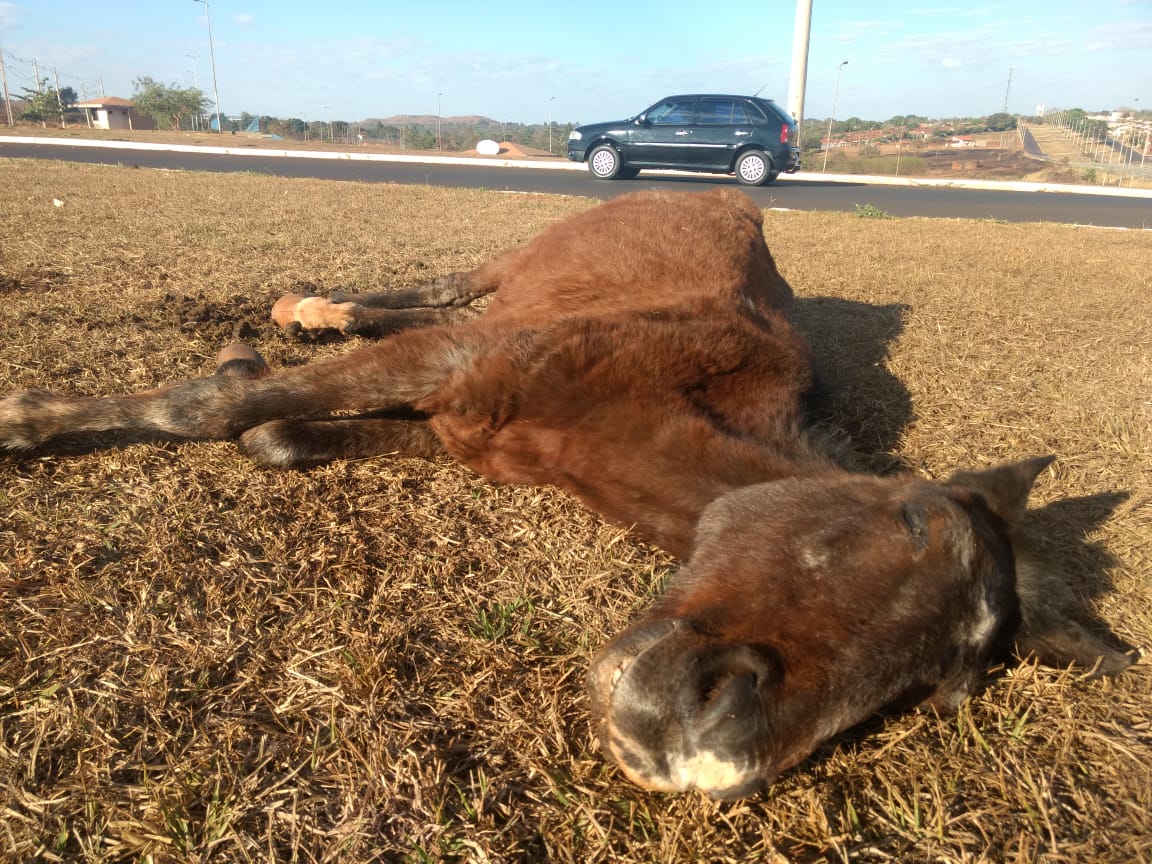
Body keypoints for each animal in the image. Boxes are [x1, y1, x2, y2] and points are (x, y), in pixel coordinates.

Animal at [0, 187, 1133, 797]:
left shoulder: (465, 429)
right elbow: (207, 410)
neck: (647, 403)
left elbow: (272, 434)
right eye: (909, 519)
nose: (696, 750)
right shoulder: (453, 365)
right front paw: (26, 419)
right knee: (444, 286)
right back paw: (315, 306)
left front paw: (258, 390)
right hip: (518, 258)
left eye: (938, 689)